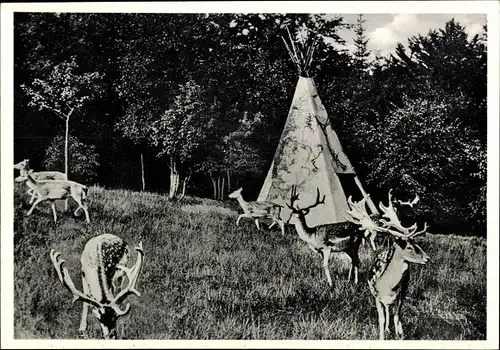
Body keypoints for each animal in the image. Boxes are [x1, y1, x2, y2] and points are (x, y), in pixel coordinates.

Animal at [344, 190, 430, 340]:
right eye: (409, 247)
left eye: (417, 244)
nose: (427, 258)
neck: (388, 285)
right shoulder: (377, 296)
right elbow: (382, 319)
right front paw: (382, 337)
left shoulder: (400, 296)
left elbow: (397, 317)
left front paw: (398, 335)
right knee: (386, 311)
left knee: (392, 313)